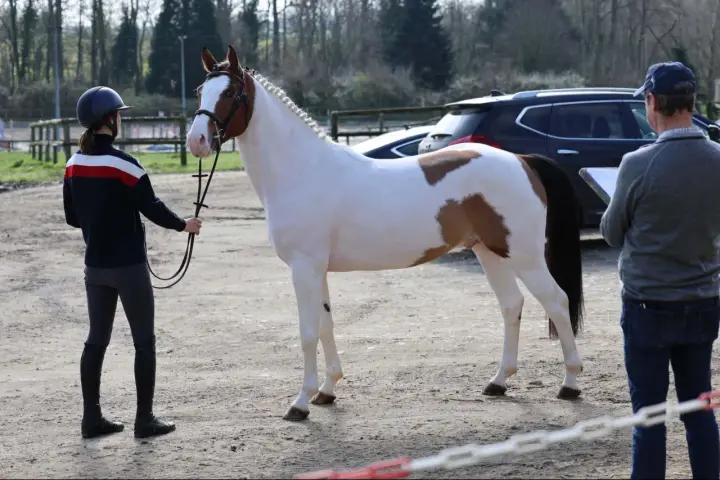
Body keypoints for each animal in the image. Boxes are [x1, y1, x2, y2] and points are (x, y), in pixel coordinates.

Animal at [186, 45, 586, 422]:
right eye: (200, 91)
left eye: (230, 93)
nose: (197, 141)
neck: (302, 170)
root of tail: (522, 161)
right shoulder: (317, 270)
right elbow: (327, 325)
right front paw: (327, 391)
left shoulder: (304, 268)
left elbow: (308, 333)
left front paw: (300, 403)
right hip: (490, 252)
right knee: (511, 305)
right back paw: (498, 382)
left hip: (525, 256)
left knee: (557, 301)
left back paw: (570, 383)